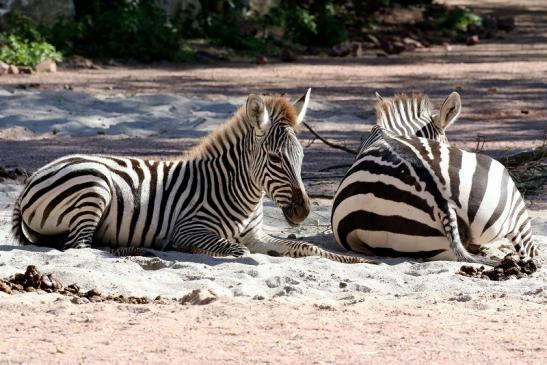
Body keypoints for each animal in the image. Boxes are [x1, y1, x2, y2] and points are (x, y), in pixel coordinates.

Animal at [12, 89, 374, 264]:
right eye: (275, 158)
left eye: (302, 158)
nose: (303, 212)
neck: (241, 192)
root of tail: (32, 178)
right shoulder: (190, 228)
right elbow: (236, 251)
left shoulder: (256, 235)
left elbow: (306, 248)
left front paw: (354, 260)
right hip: (93, 185)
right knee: (80, 247)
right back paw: (137, 252)